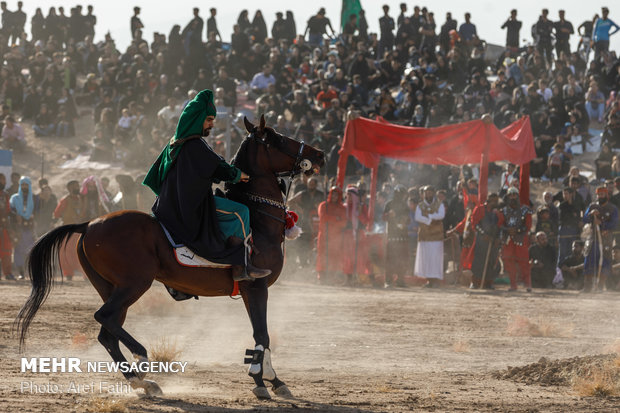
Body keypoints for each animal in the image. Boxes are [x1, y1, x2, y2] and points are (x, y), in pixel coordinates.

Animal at [15, 114, 324, 398]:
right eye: (279, 139)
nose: (319, 153)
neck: (259, 219)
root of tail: (89, 224)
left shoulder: (250, 291)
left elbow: (262, 337)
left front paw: (270, 378)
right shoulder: (255, 286)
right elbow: (262, 334)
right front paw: (263, 380)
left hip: (111, 288)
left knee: (107, 331)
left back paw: (141, 381)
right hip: (134, 283)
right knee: (104, 318)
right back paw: (142, 358)